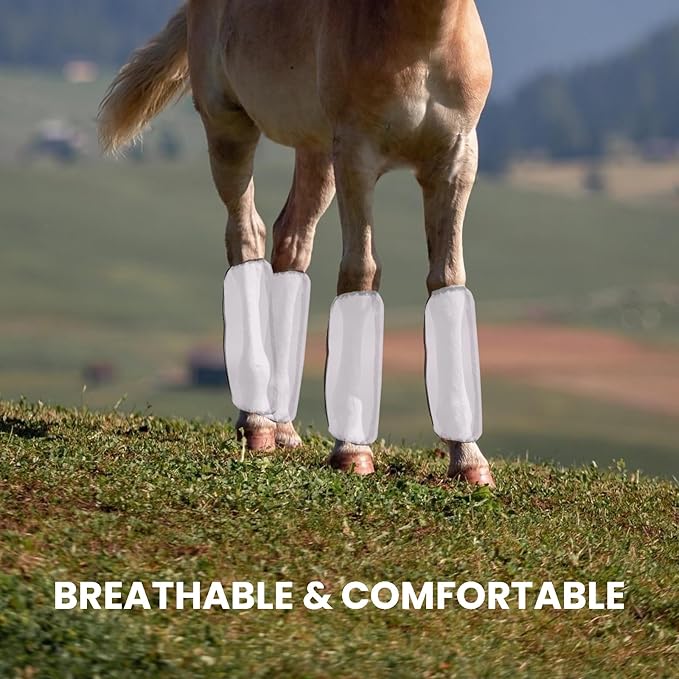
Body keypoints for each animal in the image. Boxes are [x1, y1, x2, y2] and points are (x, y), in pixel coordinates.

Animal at [98, 0, 495, 487]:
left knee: (291, 244)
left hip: (316, 149)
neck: (424, 38)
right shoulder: (357, 155)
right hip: (230, 127)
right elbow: (360, 271)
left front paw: (468, 458)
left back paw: (282, 427)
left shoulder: (457, 159)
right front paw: (352, 451)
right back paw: (256, 425)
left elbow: (447, 278)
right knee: (247, 235)